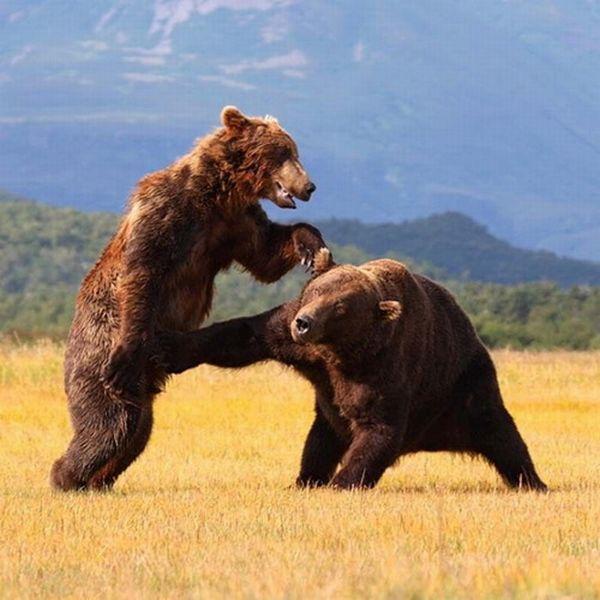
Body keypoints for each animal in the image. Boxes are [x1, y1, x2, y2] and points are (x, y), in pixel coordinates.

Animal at [49, 106, 326, 492]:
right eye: (284, 152)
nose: (310, 186)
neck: (219, 193)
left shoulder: (234, 224)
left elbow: (267, 254)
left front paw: (313, 247)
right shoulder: (168, 211)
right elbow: (143, 271)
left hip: (143, 386)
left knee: (136, 431)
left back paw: (97, 481)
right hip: (96, 357)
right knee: (109, 423)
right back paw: (66, 477)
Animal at [159, 251, 548, 490]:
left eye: (341, 307)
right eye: (316, 290)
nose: (304, 322)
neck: (338, 352)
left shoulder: (380, 370)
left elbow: (379, 429)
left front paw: (342, 482)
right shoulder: (303, 350)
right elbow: (245, 335)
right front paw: (170, 348)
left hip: (466, 384)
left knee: (501, 433)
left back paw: (532, 482)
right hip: (330, 418)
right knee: (318, 442)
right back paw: (305, 479)